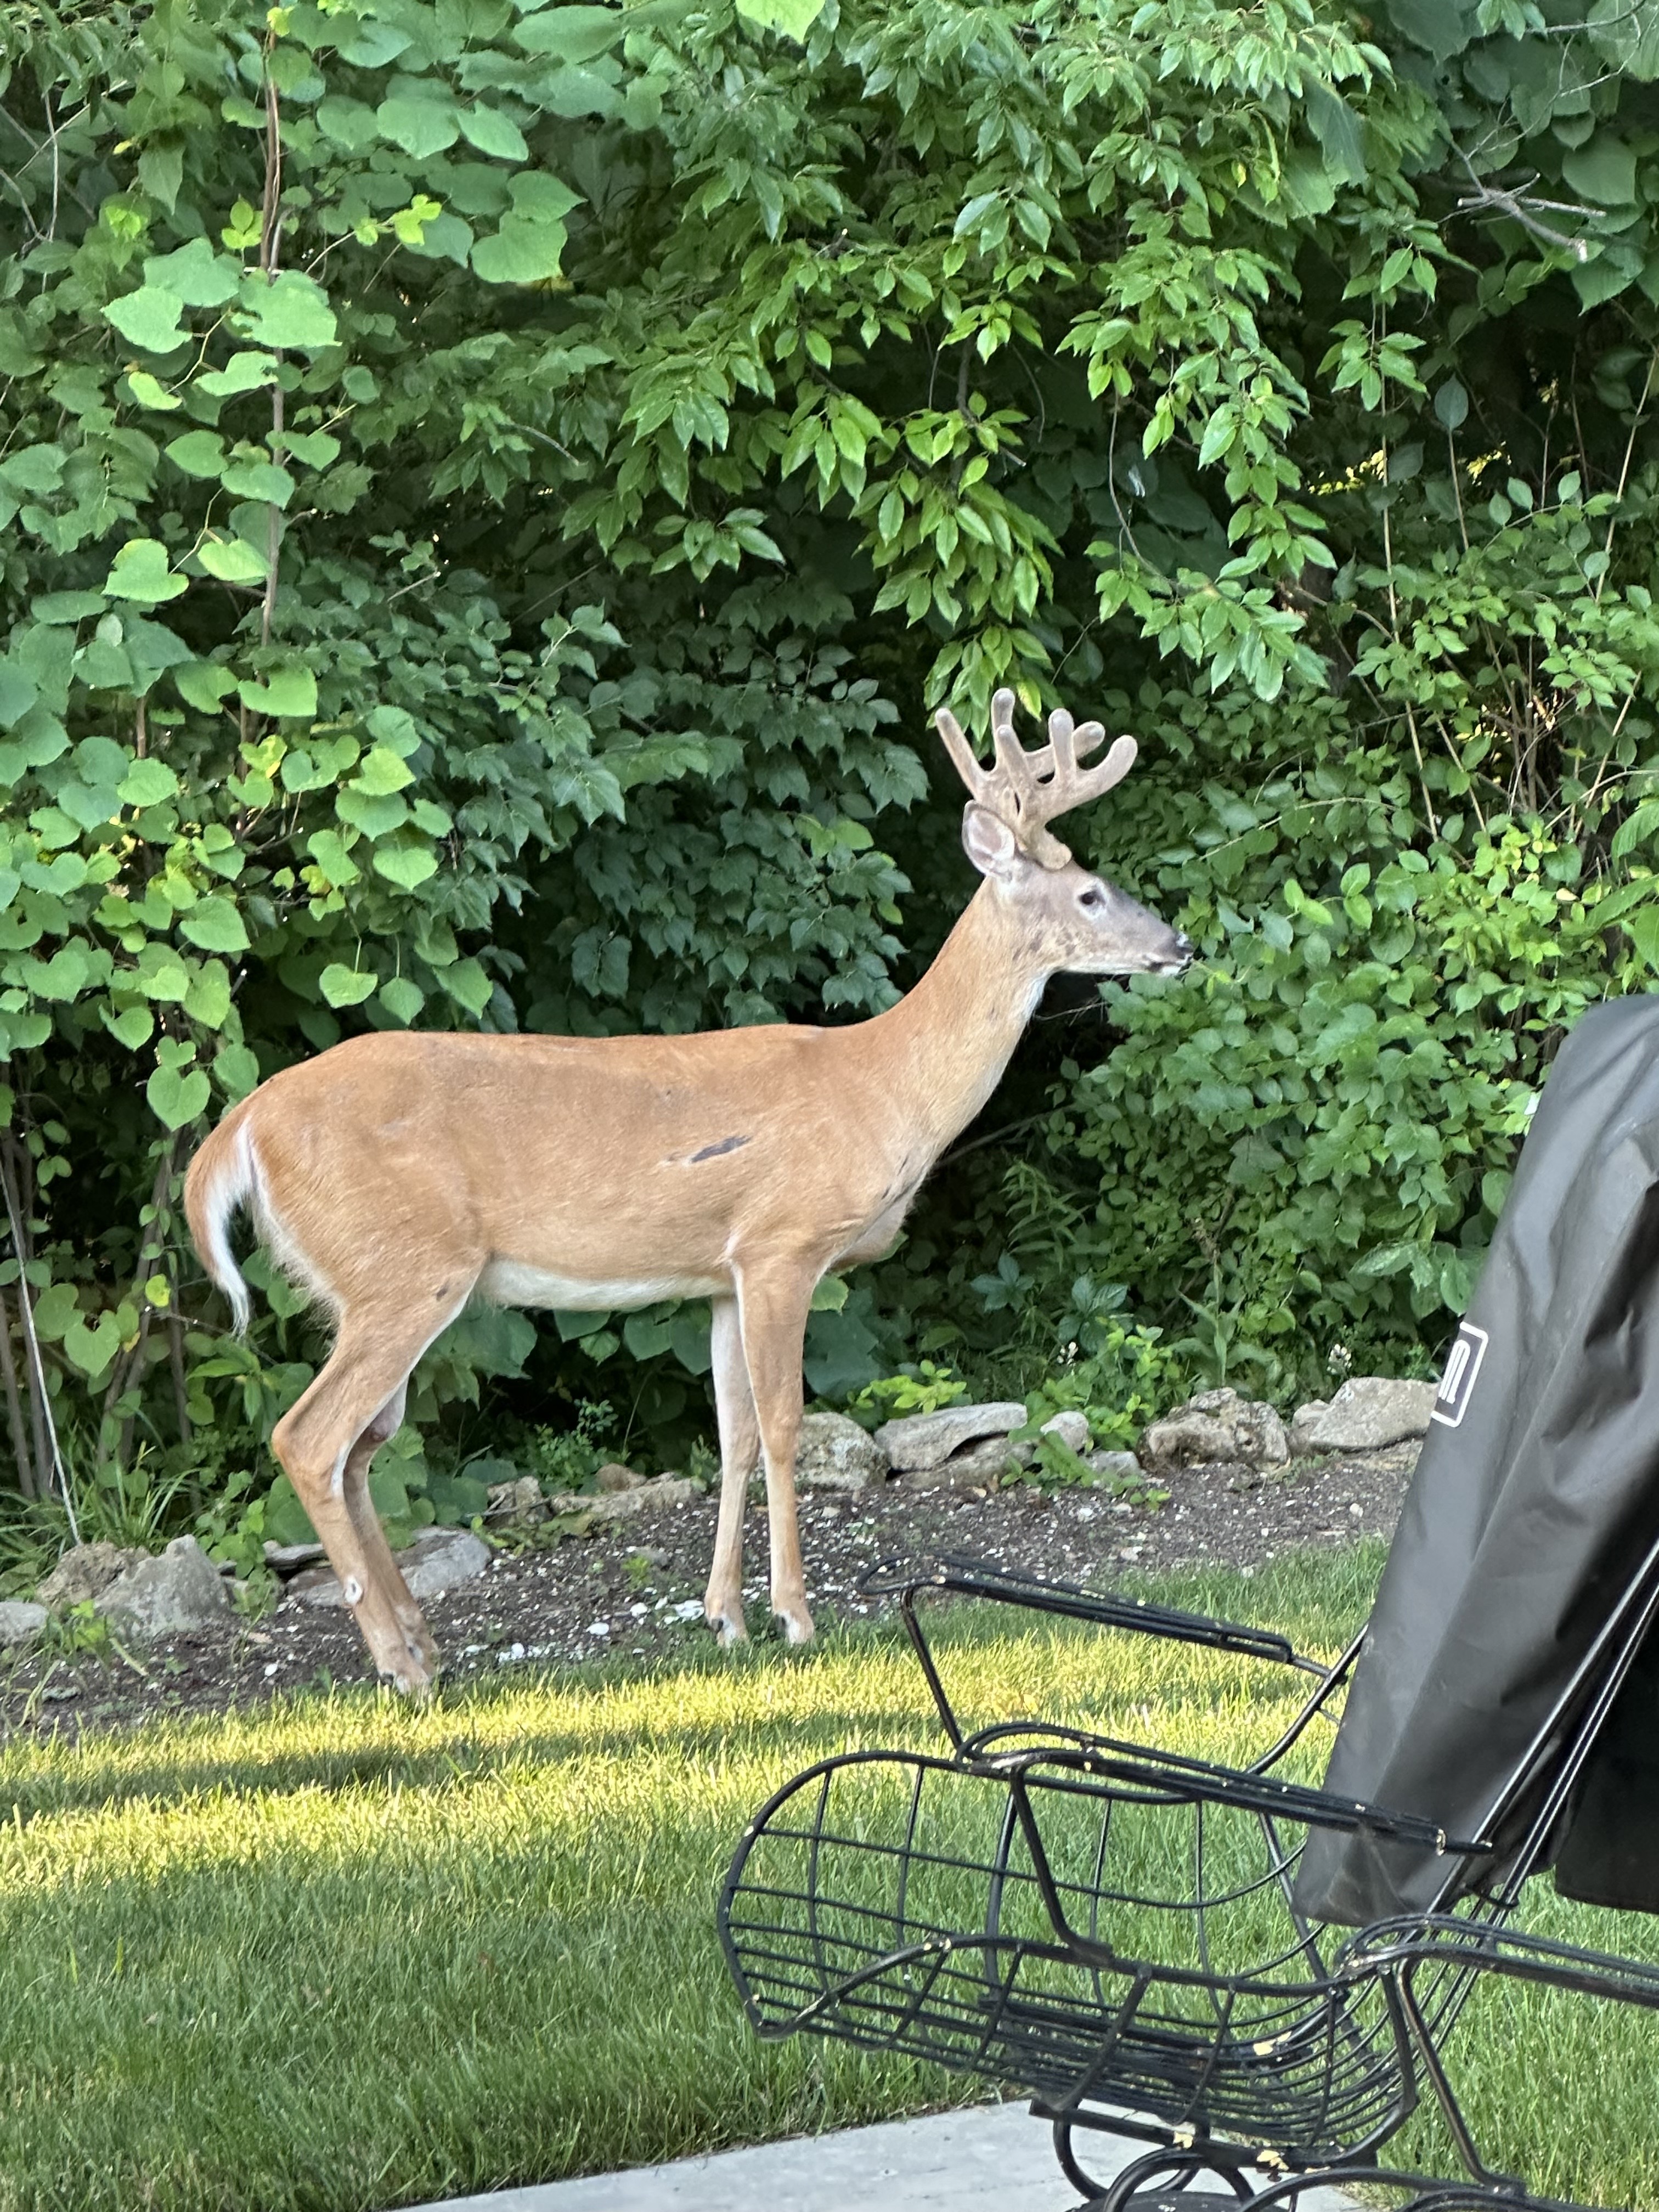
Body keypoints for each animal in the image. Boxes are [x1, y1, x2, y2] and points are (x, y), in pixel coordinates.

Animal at [181, 690, 1194, 1690]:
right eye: (1089, 891)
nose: (1179, 944)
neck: (883, 1086)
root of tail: (242, 1127)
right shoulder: (783, 1243)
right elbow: (785, 1424)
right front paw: (794, 1616)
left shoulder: (718, 1275)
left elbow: (732, 1433)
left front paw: (724, 1617)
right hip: (404, 1267)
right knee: (310, 1438)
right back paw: (401, 1662)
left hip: (365, 1283)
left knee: (359, 1450)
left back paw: (421, 1643)